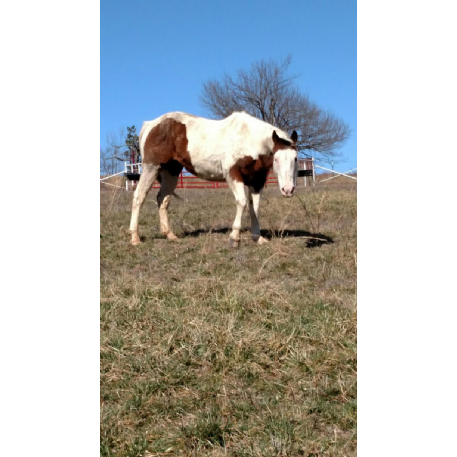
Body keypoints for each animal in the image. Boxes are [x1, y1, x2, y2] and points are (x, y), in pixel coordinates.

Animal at [130, 110, 298, 246]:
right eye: (276, 158)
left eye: (295, 158)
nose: (288, 190)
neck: (249, 139)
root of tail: (151, 125)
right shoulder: (233, 174)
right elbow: (242, 202)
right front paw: (234, 238)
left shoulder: (256, 181)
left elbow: (254, 208)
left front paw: (257, 238)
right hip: (151, 167)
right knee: (139, 196)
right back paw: (135, 238)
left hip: (171, 171)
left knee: (163, 199)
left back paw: (170, 235)